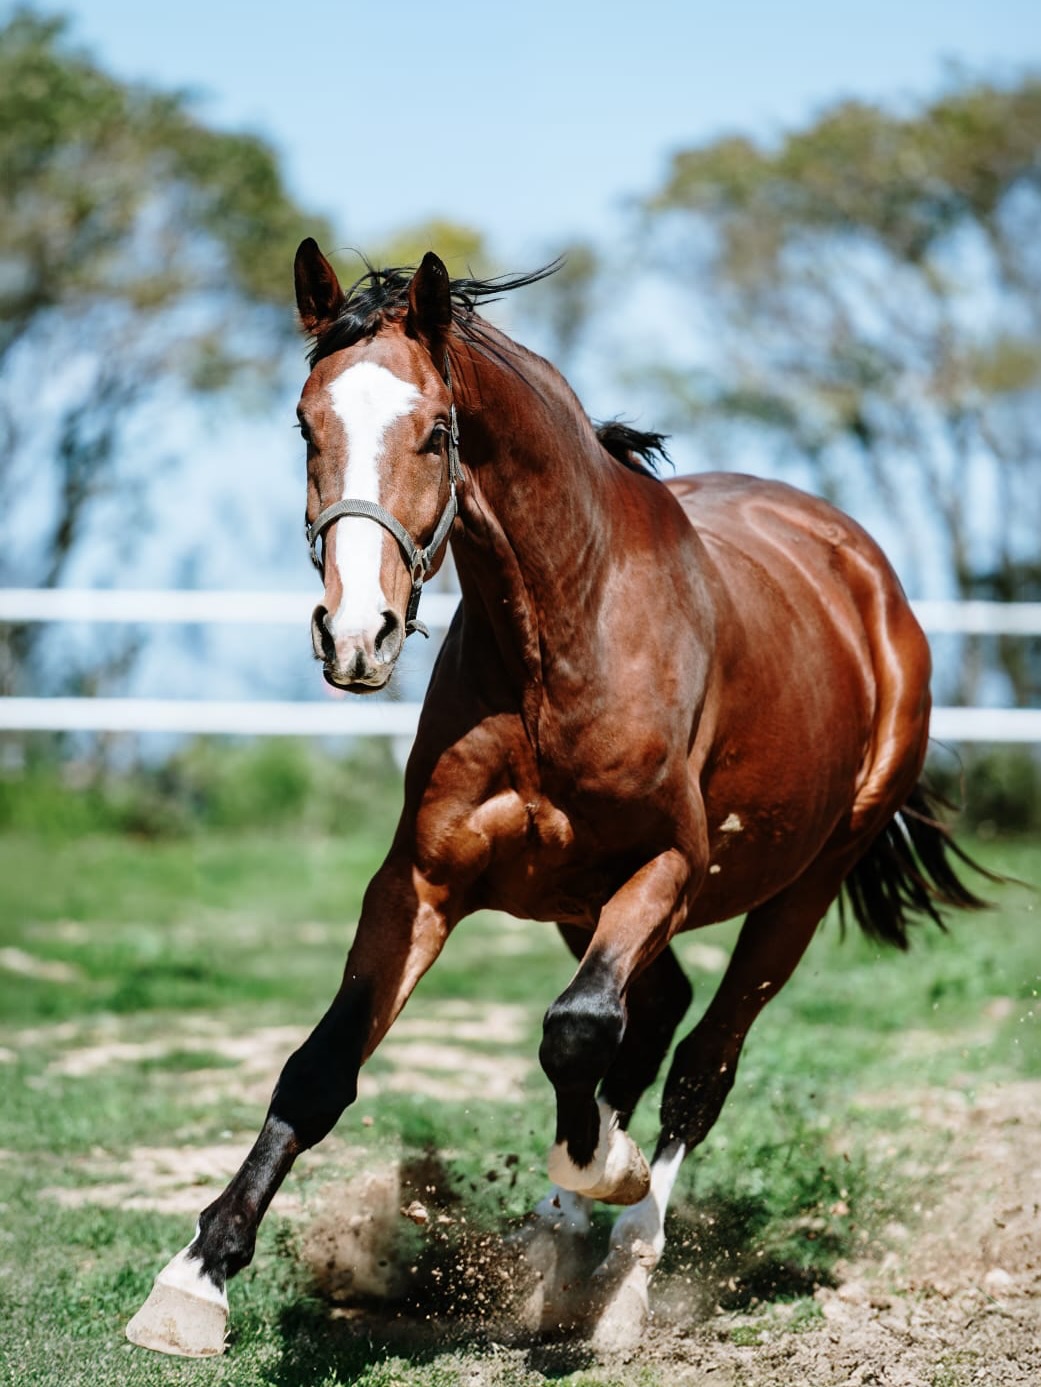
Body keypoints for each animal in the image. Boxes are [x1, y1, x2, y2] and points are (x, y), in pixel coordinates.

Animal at [127, 241, 988, 1357]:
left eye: (435, 430)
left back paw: (622, 1263)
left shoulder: (669, 866)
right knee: (654, 1014)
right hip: (582, 903)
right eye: (307, 425)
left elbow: (577, 1028)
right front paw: (194, 1279)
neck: (567, 634)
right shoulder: (422, 880)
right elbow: (321, 1068)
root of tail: (868, 577)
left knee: (699, 1063)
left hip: (799, 891)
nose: (356, 636)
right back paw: (555, 1235)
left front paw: (601, 1173)